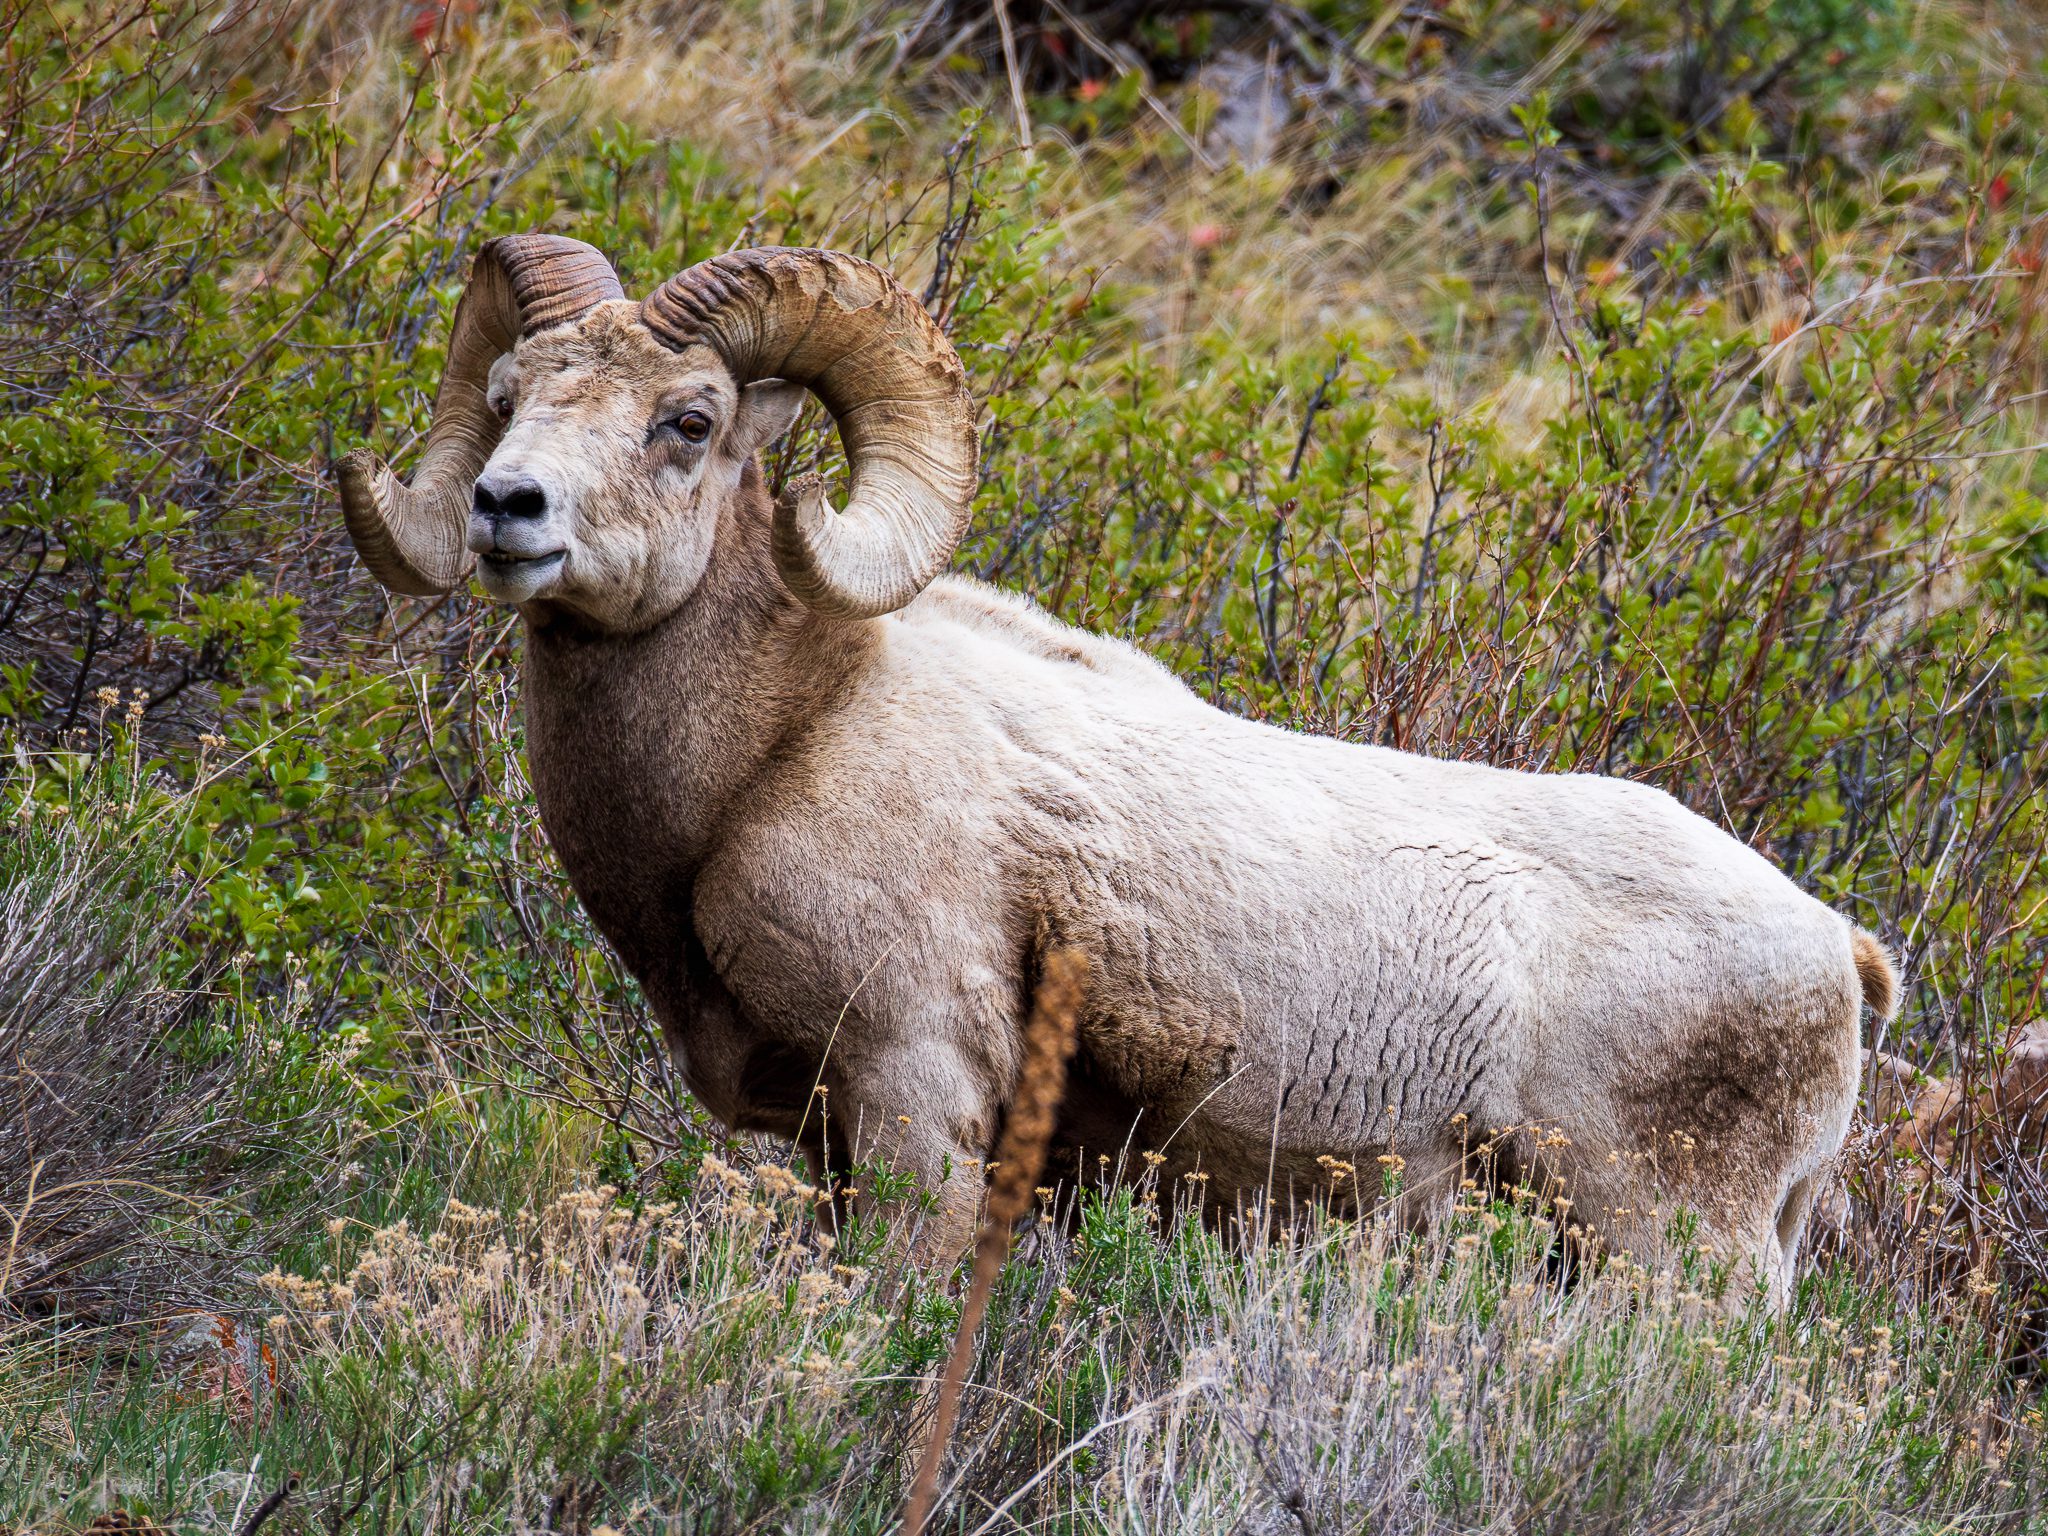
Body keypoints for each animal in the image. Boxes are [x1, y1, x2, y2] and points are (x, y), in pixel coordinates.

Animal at [336, 234, 1896, 1303]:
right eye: (509, 394)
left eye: (688, 422)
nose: (505, 508)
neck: (772, 755)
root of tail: (1840, 954)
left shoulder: (915, 1099)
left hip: (1663, 1247)